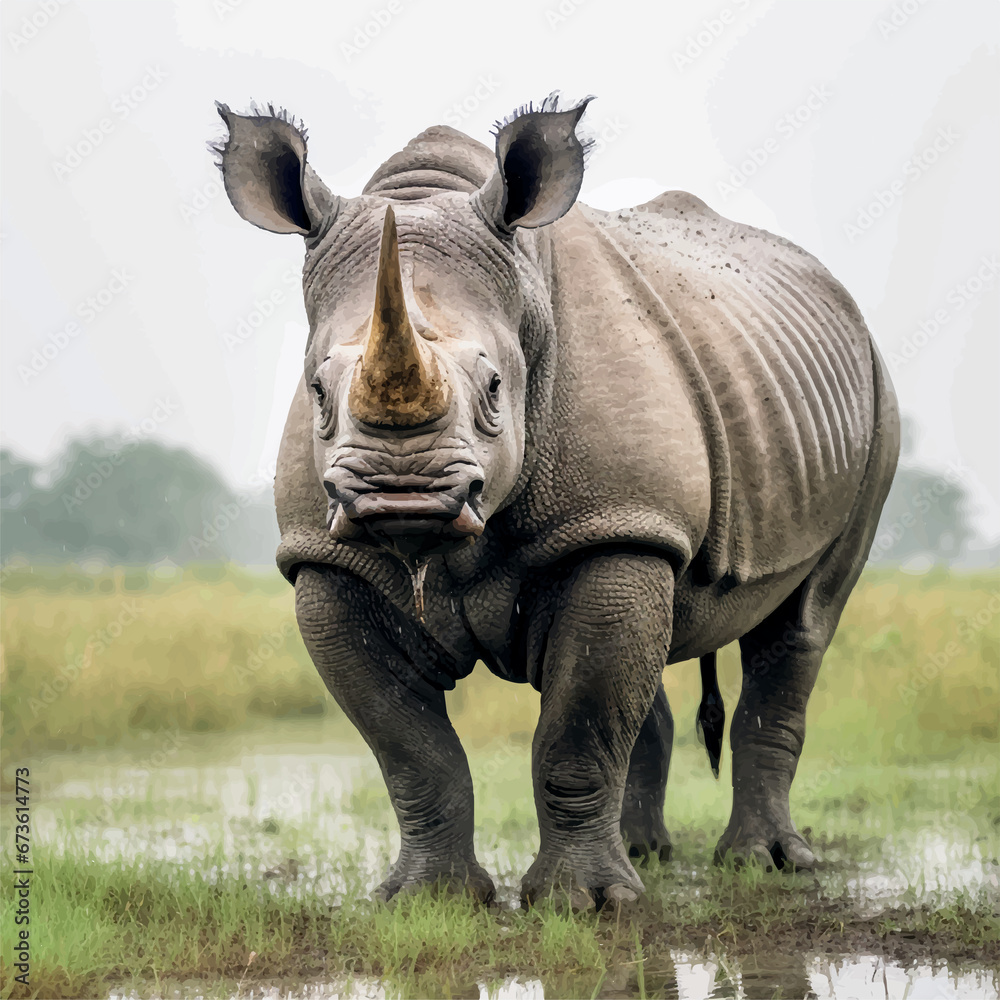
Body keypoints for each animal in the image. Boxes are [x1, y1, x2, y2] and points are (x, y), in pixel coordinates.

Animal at [215, 95, 899, 909]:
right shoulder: (326, 557)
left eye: (494, 389)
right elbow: (410, 748)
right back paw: (649, 853)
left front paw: (586, 905)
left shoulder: (616, 520)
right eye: (318, 390)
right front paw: (430, 900)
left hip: (876, 403)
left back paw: (762, 865)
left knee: (801, 623)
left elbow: (578, 725)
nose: (400, 495)